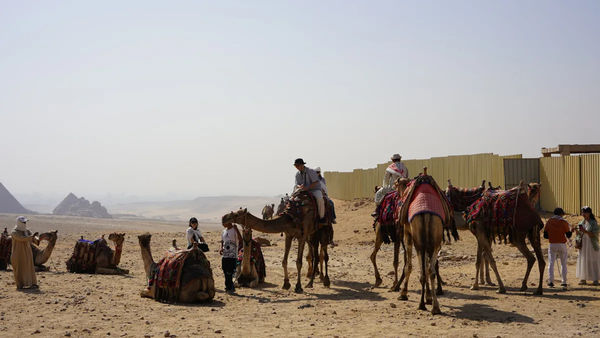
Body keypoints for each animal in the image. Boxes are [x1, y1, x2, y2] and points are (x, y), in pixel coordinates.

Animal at [398, 170, 450, 316]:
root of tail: (427, 214)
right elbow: (427, 268)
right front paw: (429, 297)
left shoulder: (408, 235)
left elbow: (408, 266)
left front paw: (403, 293)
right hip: (434, 241)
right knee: (430, 270)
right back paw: (435, 307)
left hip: (419, 242)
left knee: (423, 270)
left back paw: (421, 304)